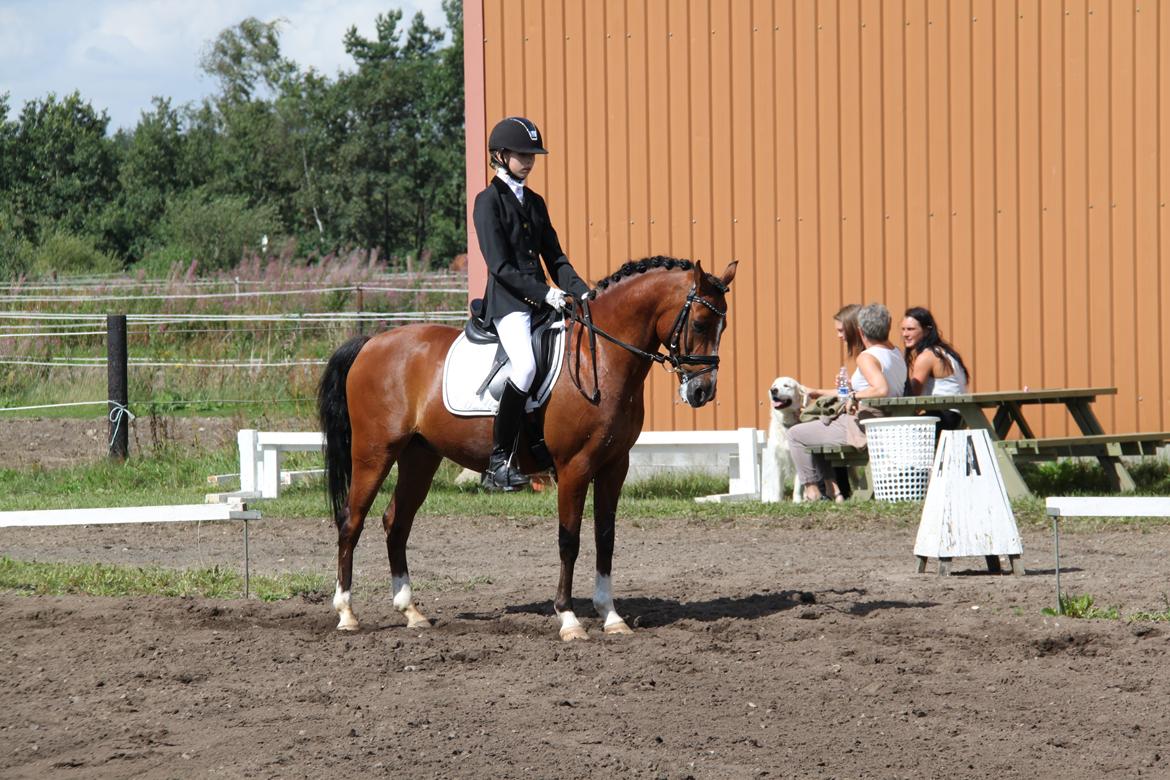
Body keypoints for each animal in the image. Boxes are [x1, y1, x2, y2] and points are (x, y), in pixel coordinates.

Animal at [317, 256, 738, 641]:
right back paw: (347, 614)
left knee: (396, 522)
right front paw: (568, 619)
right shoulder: (573, 467)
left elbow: (605, 537)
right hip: (374, 453)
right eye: (700, 323)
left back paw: (411, 612)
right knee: (351, 521)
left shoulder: (614, 465)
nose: (702, 392)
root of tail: (372, 342)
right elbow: (570, 539)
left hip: (420, 456)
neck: (599, 357)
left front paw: (611, 616)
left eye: (723, 325)